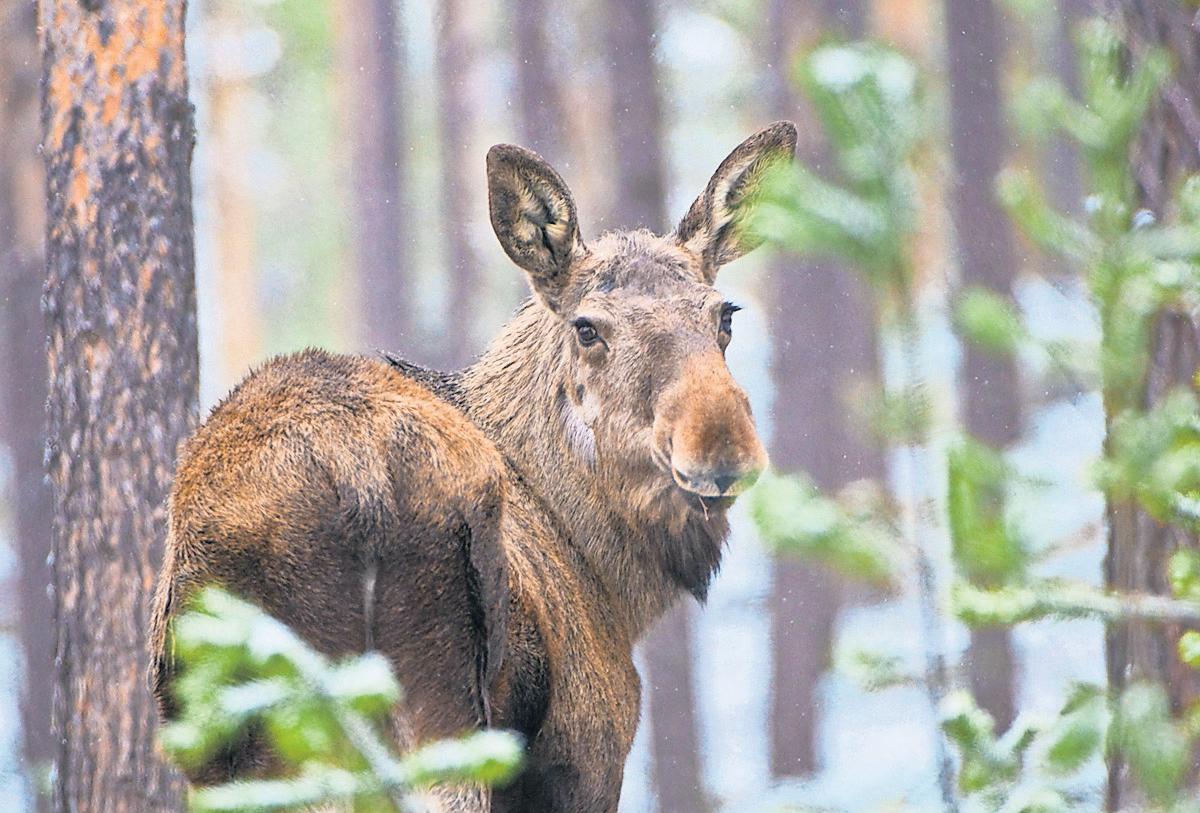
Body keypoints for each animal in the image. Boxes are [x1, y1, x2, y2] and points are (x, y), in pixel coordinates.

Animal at [149, 121, 797, 811]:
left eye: (724, 314)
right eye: (587, 328)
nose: (722, 448)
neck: (616, 584)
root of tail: (359, 480)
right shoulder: (589, 752)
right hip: (439, 714)